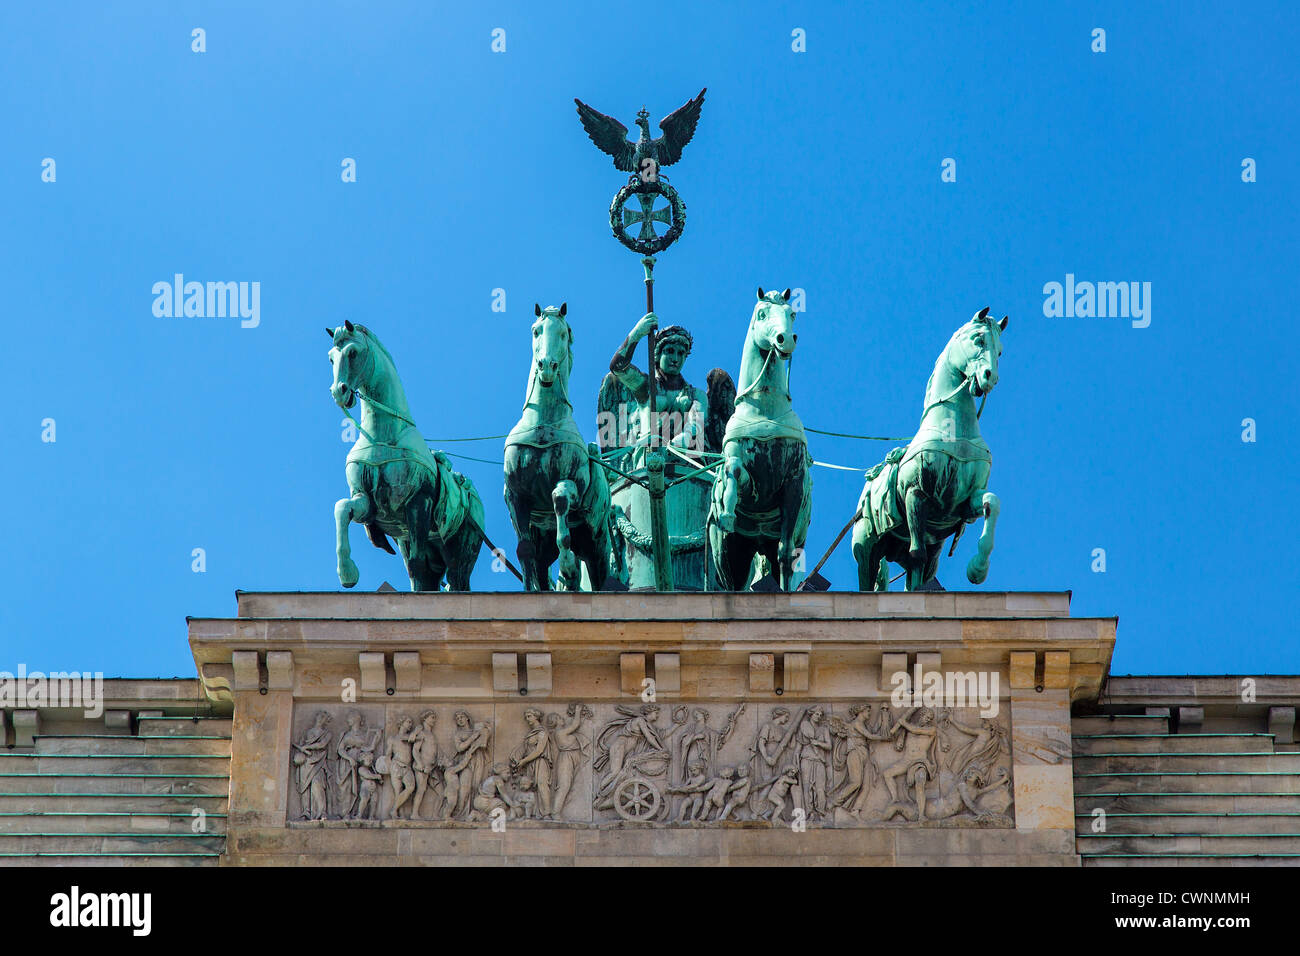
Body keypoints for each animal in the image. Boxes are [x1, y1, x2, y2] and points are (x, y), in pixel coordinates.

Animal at [327, 321, 486, 590]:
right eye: (331, 358)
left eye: (353, 352)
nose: (339, 392)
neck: (381, 436)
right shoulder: (367, 502)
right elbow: (342, 508)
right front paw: (347, 572)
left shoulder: (418, 504)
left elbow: (417, 563)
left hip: (461, 550)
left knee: (456, 579)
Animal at [504, 304, 611, 590]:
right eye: (536, 331)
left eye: (564, 333)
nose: (547, 366)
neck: (544, 421)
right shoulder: (516, 496)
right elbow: (524, 550)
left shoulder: (572, 482)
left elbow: (559, 500)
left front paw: (569, 568)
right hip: (546, 549)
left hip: (597, 545)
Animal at [712, 287, 811, 590]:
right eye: (762, 313)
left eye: (792, 314)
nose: (785, 339)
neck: (766, 409)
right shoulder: (749, 477)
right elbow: (733, 469)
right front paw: (727, 510)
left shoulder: (794, 482)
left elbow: (784, 554)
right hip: (729, 552)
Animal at [852, 306, 1003, 590]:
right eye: (978, 339)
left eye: (1000, 351)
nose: (990, 377)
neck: (953, 430)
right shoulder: (916, 493)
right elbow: (916, 554)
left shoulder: (965, 502)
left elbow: (992, 502)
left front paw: (978, 569)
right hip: (866, 545)